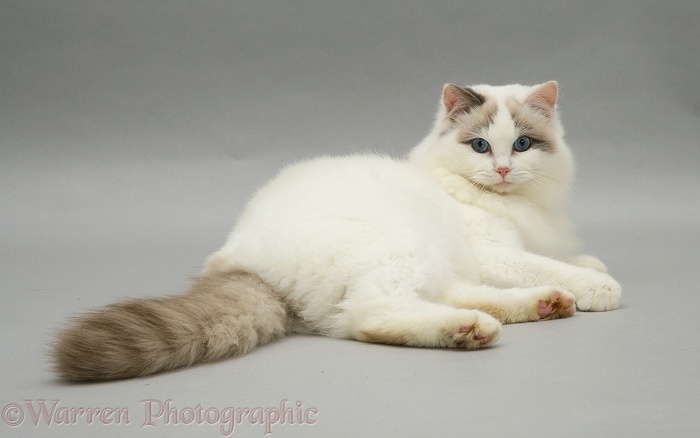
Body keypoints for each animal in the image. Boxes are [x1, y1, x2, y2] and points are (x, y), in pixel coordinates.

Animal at [56, 81, 624, 380]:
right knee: (372, 317)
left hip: (429, 263)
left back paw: (544, 305)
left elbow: (561, 260)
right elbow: (544, 263)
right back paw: (472, 331)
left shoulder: (514, 246)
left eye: (523, 145)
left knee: (456, 297)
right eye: (481, 146)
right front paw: (601, 287)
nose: (503, 169)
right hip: (402, 250)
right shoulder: (493, 252)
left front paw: (588, 269)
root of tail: (235, 259)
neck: (509, 202)